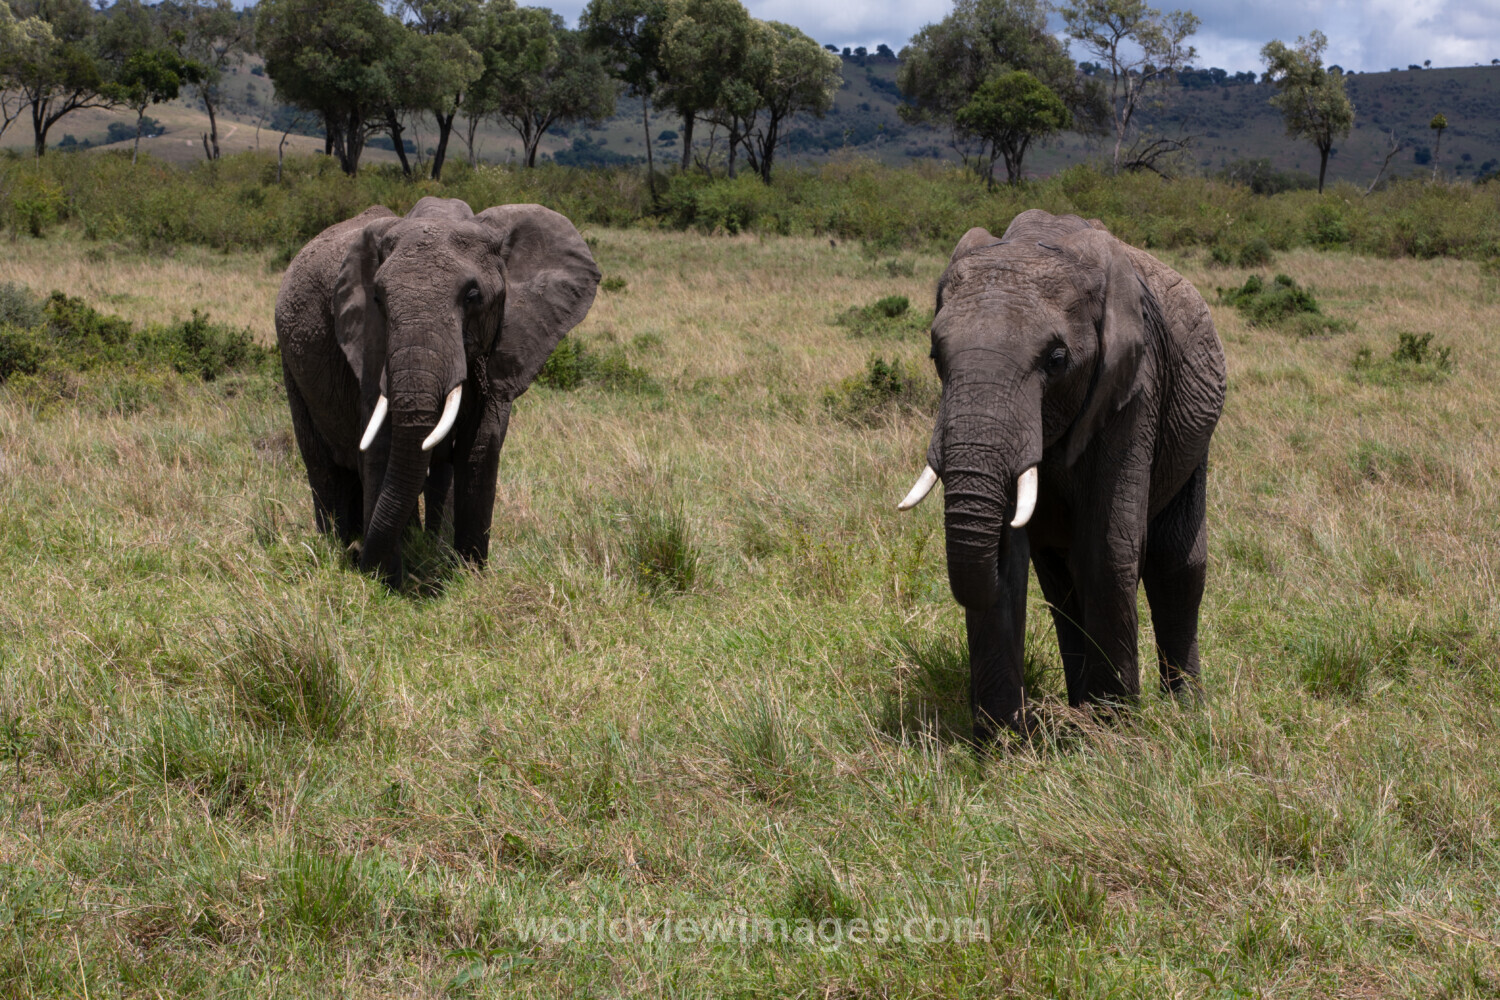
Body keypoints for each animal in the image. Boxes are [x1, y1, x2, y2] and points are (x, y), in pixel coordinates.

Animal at [275, 196, 601, 583]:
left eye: (473, 295)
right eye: (378, 299)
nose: (359, 559)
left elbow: (481, 444)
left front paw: (469, 575)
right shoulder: (368, 345)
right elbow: (380, 444)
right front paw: (386, 581)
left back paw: (424, 545)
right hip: (289, 361)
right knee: (322, 464)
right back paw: (337, 542)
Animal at [896, 209, 1226, 742]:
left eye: (1056, 360)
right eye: (934, 356)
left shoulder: (1134, 388)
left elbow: (1108, 548)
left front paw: (1114, 730)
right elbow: (1011, 562)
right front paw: (1004, 742)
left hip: (1196, 432)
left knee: (1175, 564)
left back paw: (1181, 710)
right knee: (1060, 586)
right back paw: (1077, 708)